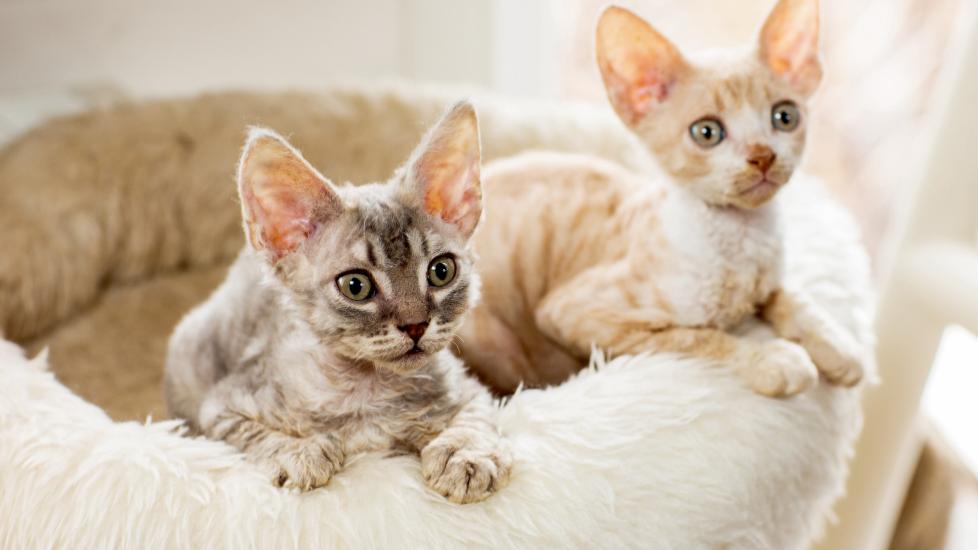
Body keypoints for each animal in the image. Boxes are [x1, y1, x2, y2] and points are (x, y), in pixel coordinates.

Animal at [164, 103, 510, 504]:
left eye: (441, 271)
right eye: (355, 286)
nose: (416, 324)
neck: (368, 393)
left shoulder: (471, 390)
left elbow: (475, 419)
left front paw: (466, 456)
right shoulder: (220, 407)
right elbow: (253, 437)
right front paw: (300, 452)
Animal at [458, 0, 860, 398]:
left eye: (785, 117)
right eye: (707, 132)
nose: (762, 156)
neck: (742, 242)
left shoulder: (767, 279)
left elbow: (788, 296)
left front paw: (837, 346)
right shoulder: (574, 312)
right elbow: (695, 337)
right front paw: (772, 358)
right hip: (498, 342)